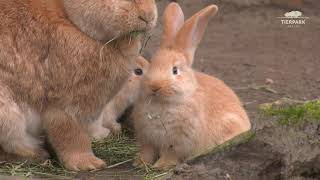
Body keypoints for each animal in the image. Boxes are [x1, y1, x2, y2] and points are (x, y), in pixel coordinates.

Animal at [131, 2, 251, 170]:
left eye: (175, 70)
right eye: (152, 64)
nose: (155, 86)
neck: (162, 103)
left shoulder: (178, 141)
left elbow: (170, 154)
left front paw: (161, 166)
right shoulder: (147, 139)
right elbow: (147, 152)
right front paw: (139, 163)